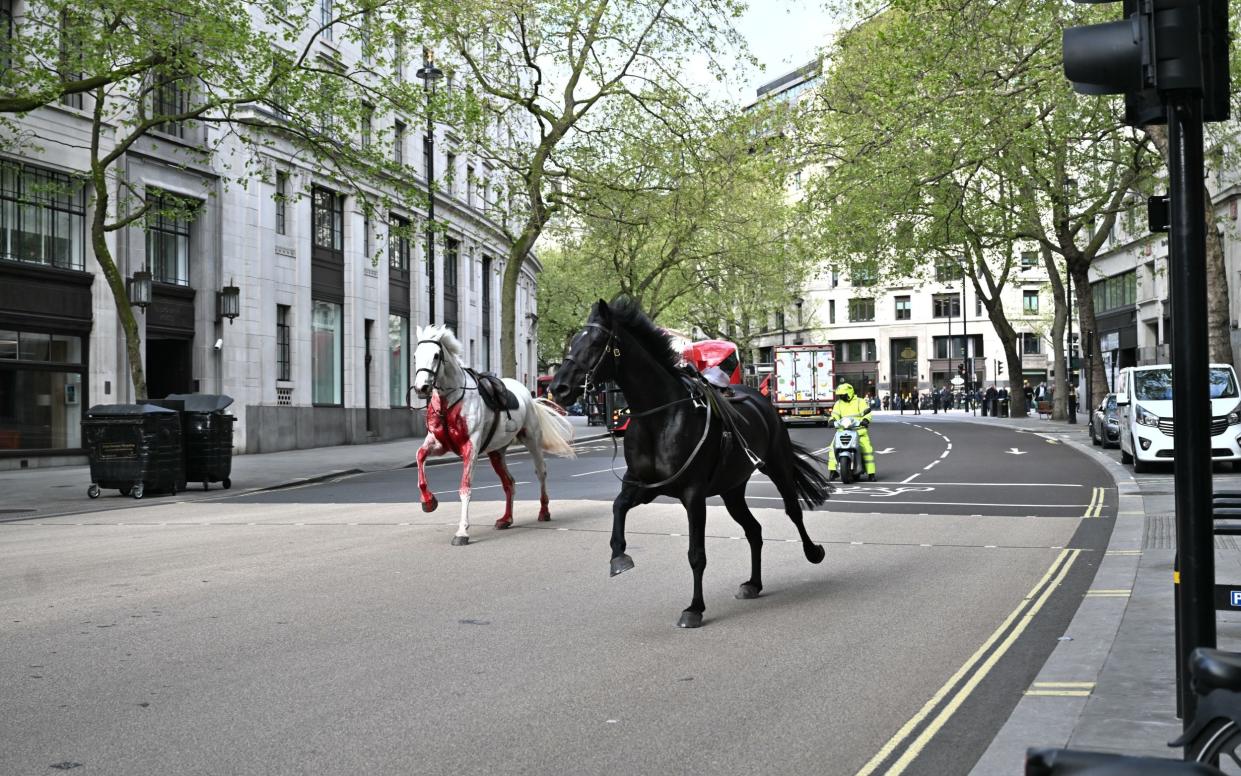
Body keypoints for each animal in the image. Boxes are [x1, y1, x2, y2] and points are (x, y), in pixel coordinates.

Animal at [412, 327, 575, 543]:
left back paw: (544, 511)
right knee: (509, 482)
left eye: (436, 355)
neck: (450, 402)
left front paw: (462, 531)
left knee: (541, 472)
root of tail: (528, 395)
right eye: (415, 355)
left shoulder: (470, 448)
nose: (421, 388)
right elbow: (420, 456)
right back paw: (506, 519)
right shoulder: (439, 444)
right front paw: (428, 502)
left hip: (532, 439)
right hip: (496, 451)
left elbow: (465, 488)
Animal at [553, 293, 833, 625]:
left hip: (777, 467)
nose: (558, 388)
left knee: (793, 510)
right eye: (572, 342)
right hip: (731, 489)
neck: (658, 418)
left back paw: (813, 552)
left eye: (596, 342)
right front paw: (619, 557)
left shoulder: (693, 494)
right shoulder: (644, 486)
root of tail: (759, 397)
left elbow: (696, 554)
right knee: (754, 530)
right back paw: (753, 583)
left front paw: (694, 608)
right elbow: (618, 507)